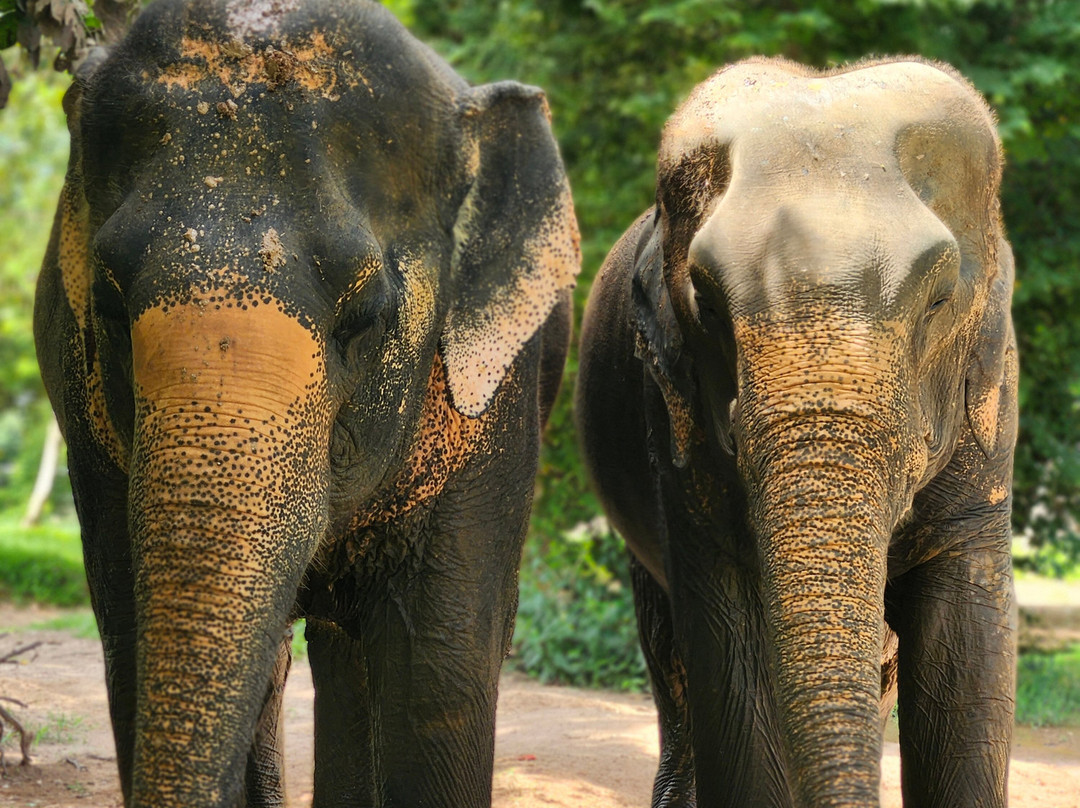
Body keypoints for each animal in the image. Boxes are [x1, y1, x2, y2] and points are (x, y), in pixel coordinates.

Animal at [33, 0, 579, 805]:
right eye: (105, 302)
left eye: (364, 317)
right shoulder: (88, 424)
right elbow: (133, 648)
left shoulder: (490, 406)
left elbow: (438, 672)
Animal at [576, 57, 1017, 807]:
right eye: (706, 301)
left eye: (938, 300)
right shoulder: (675, 425)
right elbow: (730, 655)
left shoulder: (989, 428)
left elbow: (967, 647)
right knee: (670, 660)